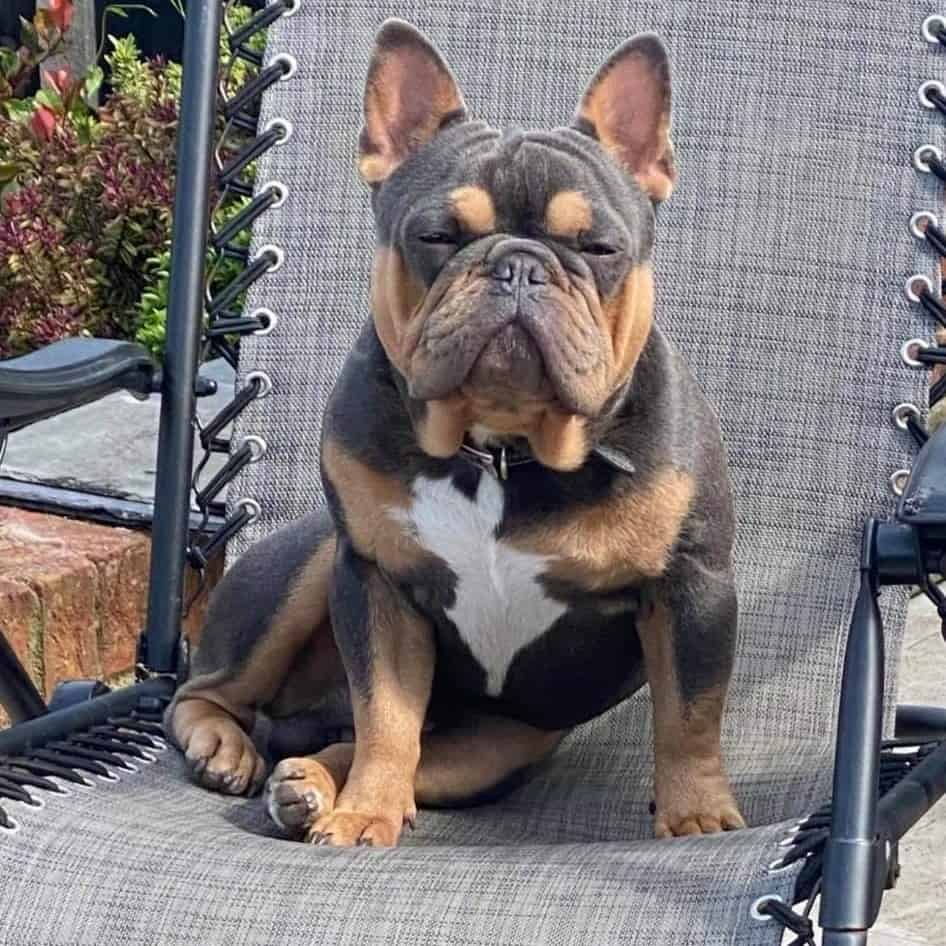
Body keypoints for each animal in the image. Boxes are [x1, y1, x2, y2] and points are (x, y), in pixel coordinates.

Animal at [168, 18, 744, 844]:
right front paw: (365, 813)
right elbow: (386, 715)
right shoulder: (375, 579)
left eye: (599, 248)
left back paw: (307, 783)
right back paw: (235, 750)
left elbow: (691, 714)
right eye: (439, 235)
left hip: (496, 746)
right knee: (214, 690)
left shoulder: (693, 584)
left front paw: (696, 815)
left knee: (379, 746)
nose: (519, 267)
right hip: (307, 564)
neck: (498, 448)